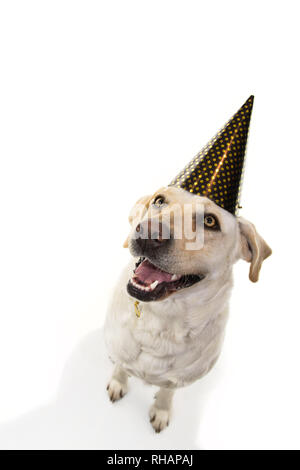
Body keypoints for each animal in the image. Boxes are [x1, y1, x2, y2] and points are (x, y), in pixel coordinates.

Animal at [103, 185, 272, 434]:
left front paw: (161, 411)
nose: (148, 232)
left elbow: (167, 391)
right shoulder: (119, 350)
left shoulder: (180, 378)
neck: (161, 321)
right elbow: (121, 368)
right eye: (159, 200)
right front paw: (117, 383)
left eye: (210, 221)